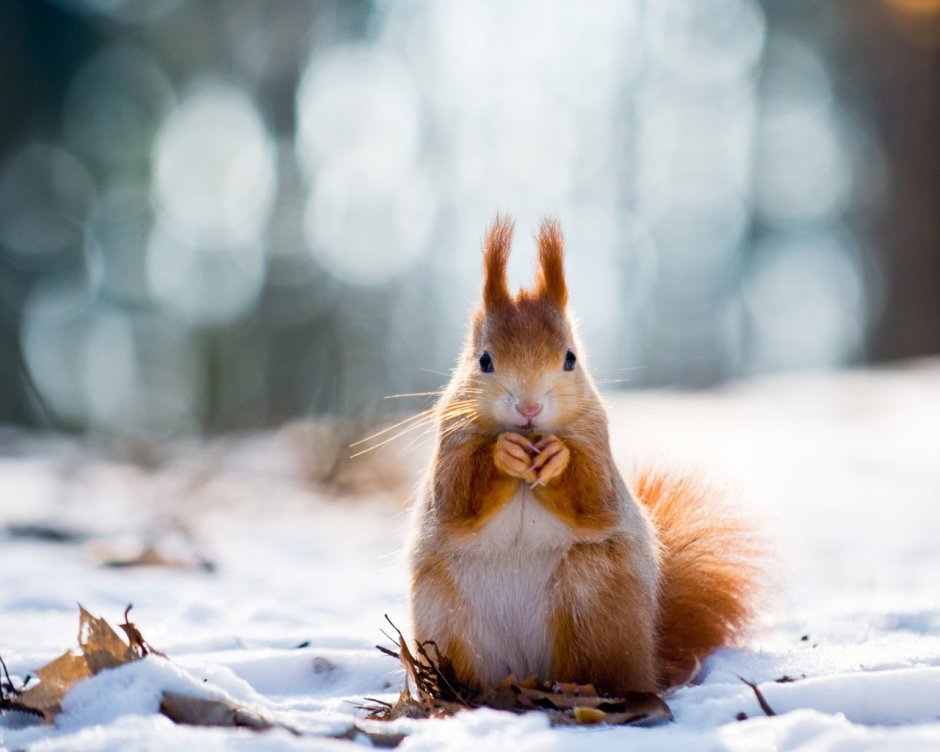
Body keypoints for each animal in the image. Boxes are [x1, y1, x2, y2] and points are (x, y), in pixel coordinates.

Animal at [408, 214, 760, 696]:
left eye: (571, 358)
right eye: (484, 361)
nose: (530, 408)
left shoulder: (598, 444)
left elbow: (593, 495)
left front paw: (558, 458)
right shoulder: (450, 445)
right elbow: (458, 498)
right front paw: (503, 453)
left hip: (592, 597)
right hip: (447, 616)